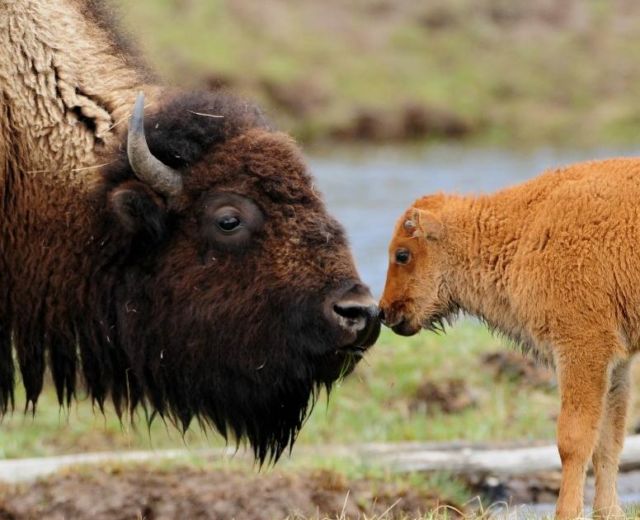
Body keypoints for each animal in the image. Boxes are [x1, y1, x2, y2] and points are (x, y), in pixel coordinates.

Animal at [380, 160, 640, 516]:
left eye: (402, 254)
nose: (383, 312)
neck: (525, 229)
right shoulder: (616, 363)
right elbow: (608, 441)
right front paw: (609, 513)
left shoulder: (581, 349)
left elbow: (573, 440)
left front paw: (565, 513)